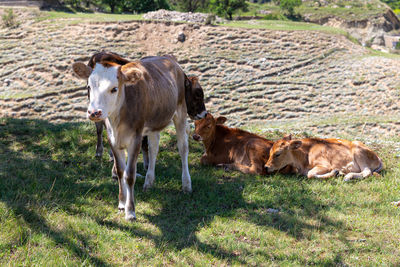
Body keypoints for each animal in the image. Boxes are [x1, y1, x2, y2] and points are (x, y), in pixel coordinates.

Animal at [71, 52, 206, 222]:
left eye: (114, 88)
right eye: (89, 87)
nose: (94, 112)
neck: (118, 119)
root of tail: (169, 58)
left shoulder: (135, 138)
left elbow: (129, 174)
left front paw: (130, 211)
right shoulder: (113, 139)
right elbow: (120, 171)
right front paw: (122, 203)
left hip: (180, 113)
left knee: (183, 149)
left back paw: (186, 184)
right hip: (154, 122)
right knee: (154, 148)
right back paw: (149, 181)